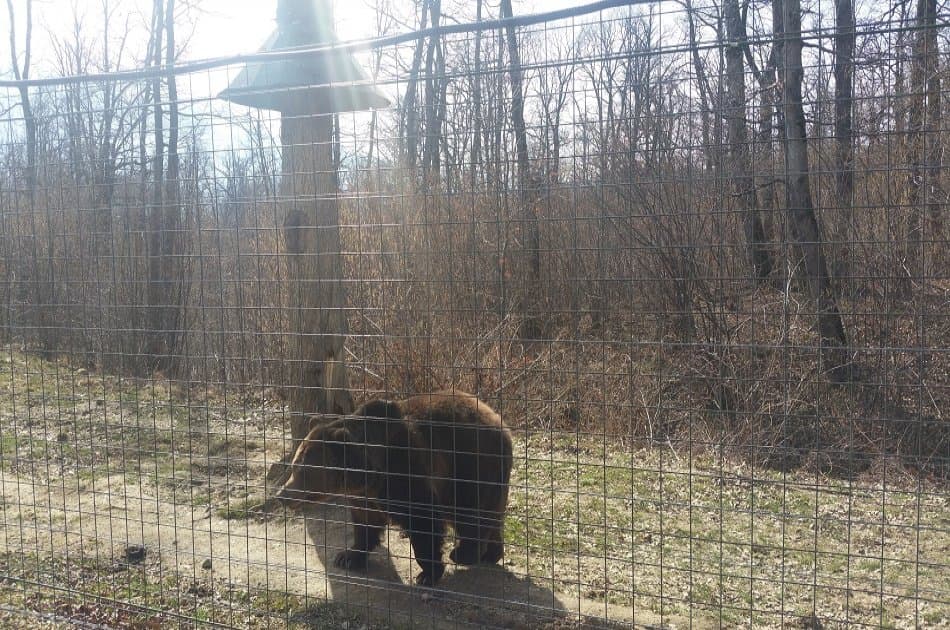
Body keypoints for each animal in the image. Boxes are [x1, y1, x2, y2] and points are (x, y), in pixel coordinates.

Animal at [275, 390, 513, 587]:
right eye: (293, 466)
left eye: (303, 470)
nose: (281, 494)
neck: (367, 475)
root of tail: (499, 421)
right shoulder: (365, 496)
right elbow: (365, 523)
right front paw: (348, 557)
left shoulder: (405, 470)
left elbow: (422, 519)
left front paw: (427, 573)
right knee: (489, 514)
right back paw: (492, 553)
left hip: (470, 464)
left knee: (470, 510)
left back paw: (464, 553)